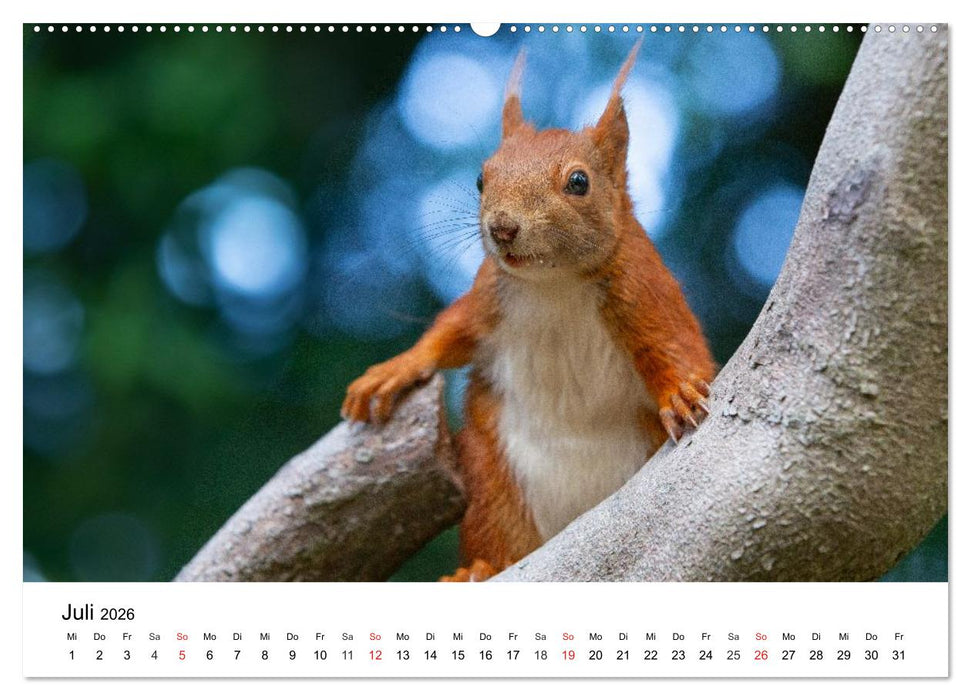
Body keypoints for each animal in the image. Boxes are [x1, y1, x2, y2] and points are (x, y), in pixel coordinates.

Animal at [342, 42, 716, 581]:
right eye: (481, 177)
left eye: (579, 181)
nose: (502, 227)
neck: (553, 284)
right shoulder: (488, 296)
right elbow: (449, 333)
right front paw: (395, 369)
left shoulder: (645, 291)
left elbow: (672, 346)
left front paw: (680, 393)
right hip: (491, 481)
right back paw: (476, 570)